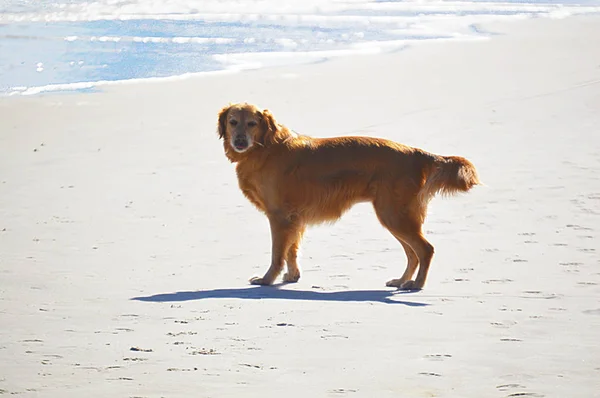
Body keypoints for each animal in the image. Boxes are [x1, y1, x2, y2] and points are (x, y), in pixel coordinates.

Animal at [216, 102, 478, 290]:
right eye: (232, 122)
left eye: (252, 123)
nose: (240, 141)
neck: (266, 148)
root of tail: (417, 153)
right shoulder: (293, 218)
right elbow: (291, 250)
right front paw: (292, 276)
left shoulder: (279, 216)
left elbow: (277, 254)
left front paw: (268, 279)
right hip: (396, 215)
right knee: (413, 253)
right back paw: (402, 281)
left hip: (393, 214)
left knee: (425, 249)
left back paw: (417, 284)